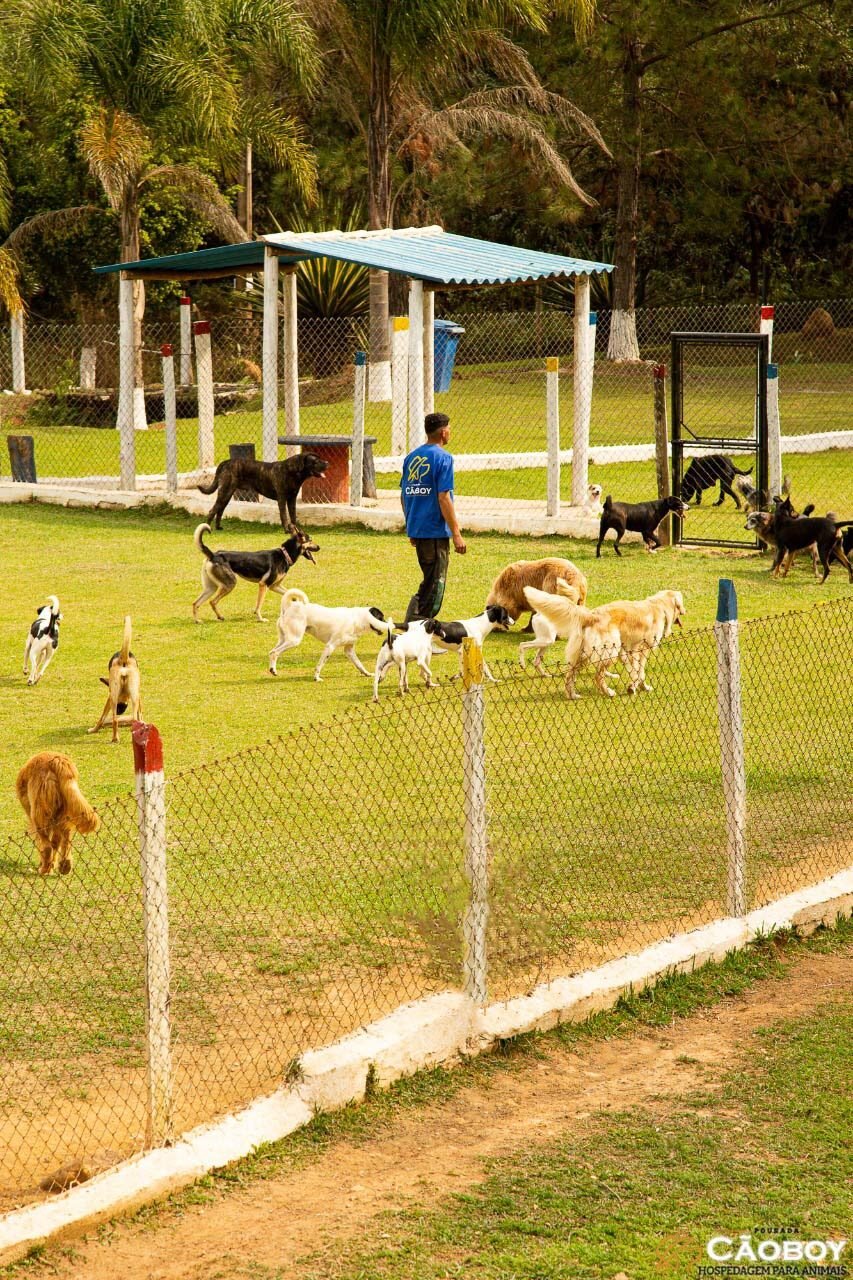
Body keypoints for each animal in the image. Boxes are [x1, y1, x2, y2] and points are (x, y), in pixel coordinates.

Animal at [15, 747, 100, 875]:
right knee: (63, 843)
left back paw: (44, 870)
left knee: (48, 846)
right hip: (65, 815)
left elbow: (42, 846)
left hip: (39, 817)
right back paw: (64, 866)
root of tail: (58, 761)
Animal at [197, 453, 327, 527]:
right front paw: (287, 529)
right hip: (224, 492)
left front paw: (296, 530)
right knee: (212, 510)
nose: (327, 462)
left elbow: (293, 515)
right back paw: (207, 528)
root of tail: (224, 463)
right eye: (315, 461)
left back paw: (218, 527)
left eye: (320, 459)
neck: (293, 472)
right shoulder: (282, 498)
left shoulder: (292, 499)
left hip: (227, 494)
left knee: (219, 510)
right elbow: (284, 515)